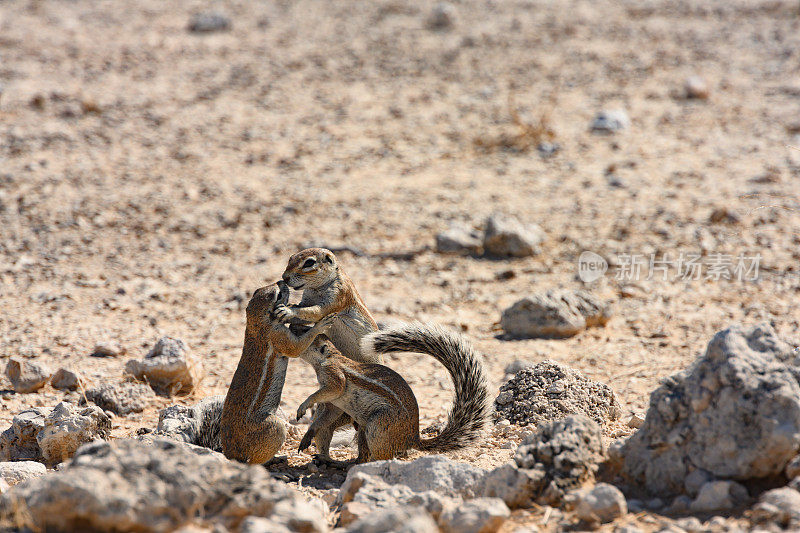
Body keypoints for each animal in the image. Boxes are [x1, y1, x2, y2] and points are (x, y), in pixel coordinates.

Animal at [219, 280, 334, 464]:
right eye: (278, 295)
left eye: (257, 290)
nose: (281, 281)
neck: (257, 324)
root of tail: (232, 455)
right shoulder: (279, 335)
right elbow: (296, 348)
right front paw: (320, 325)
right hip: (276, 427)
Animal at [276, 248, 382, 462]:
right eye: (290, 258)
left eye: (309, 263)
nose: (284, 277)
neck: (318, 287)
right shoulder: (307, 298)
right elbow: (304, 308)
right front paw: (291, 309)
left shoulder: (336, 297)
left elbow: (314, 312)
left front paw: (288, 311)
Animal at [296, 322, 490, 464]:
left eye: (307, 332)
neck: (329, 358)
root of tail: (412, 439)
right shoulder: (334, 404)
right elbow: (328, 415)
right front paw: (308, 433)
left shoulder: (335, 377)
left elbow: (334, 388)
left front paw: (304, 405)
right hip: (365, 429)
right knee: (362, 456)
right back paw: (336, 462)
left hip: (379, 425)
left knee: (377, 458)